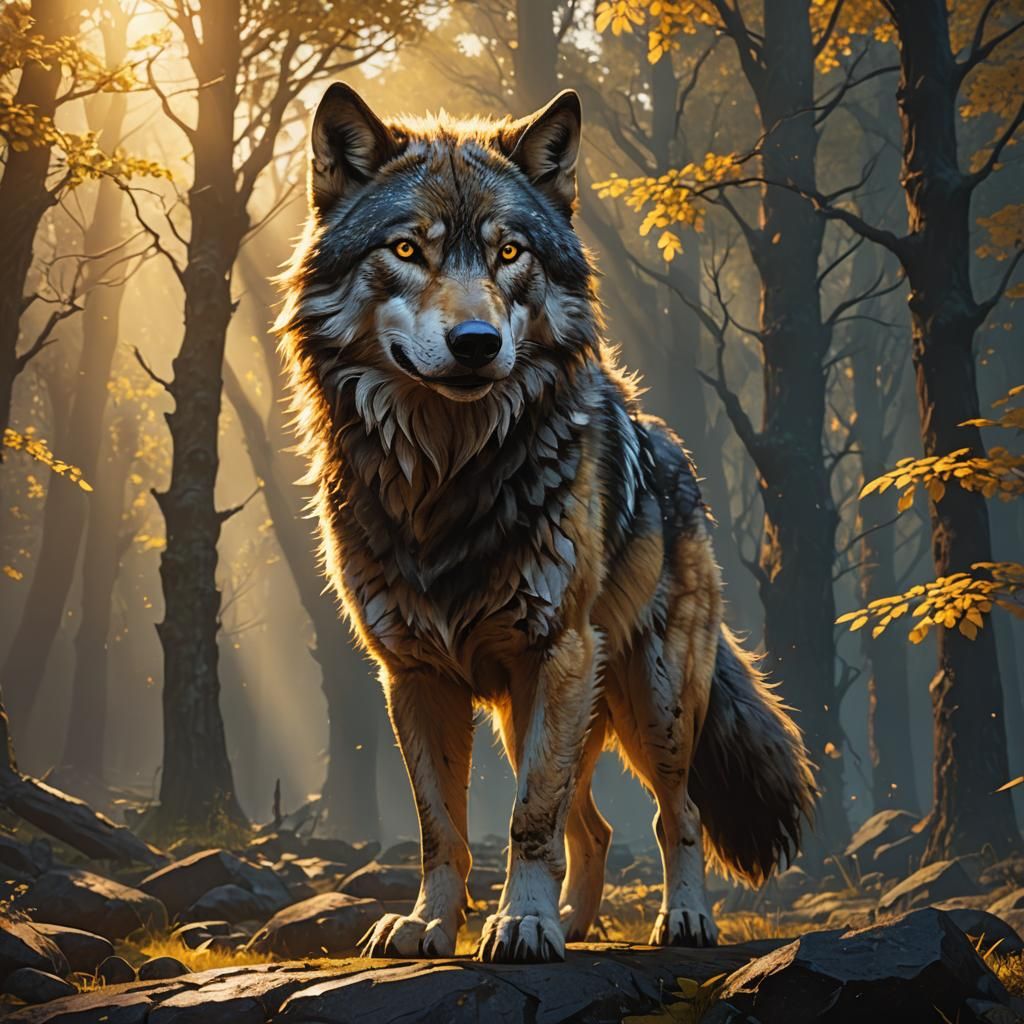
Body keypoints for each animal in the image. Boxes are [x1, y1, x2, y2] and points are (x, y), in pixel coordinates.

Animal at [277, 83, 816, 965]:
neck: (446, 477)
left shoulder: (553, 652)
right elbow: (441, 828)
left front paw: (522, 924)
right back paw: (579, 922)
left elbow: (528, 818)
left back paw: (681, 921)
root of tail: (675, 453)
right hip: (543, 713)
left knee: (675, 816)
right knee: (593, 828)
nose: (475, 342)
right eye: (406, 249)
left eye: (509, 254)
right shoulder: (413, 675)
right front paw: (431, 925)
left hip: (649, 701)